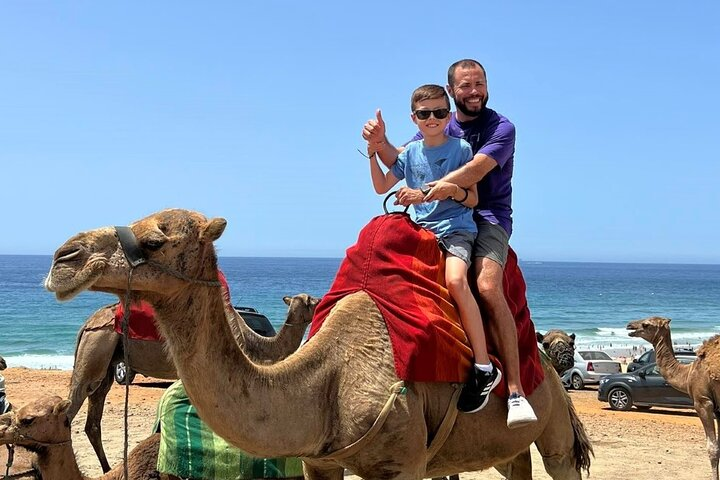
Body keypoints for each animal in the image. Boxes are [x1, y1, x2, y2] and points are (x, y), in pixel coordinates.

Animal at [69, 295, 318, 473]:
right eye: (312, 302)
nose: (321, 301)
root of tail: (86, 325)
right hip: (97, 345)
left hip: (107, 362)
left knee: (93, 416)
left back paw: (108, 468)